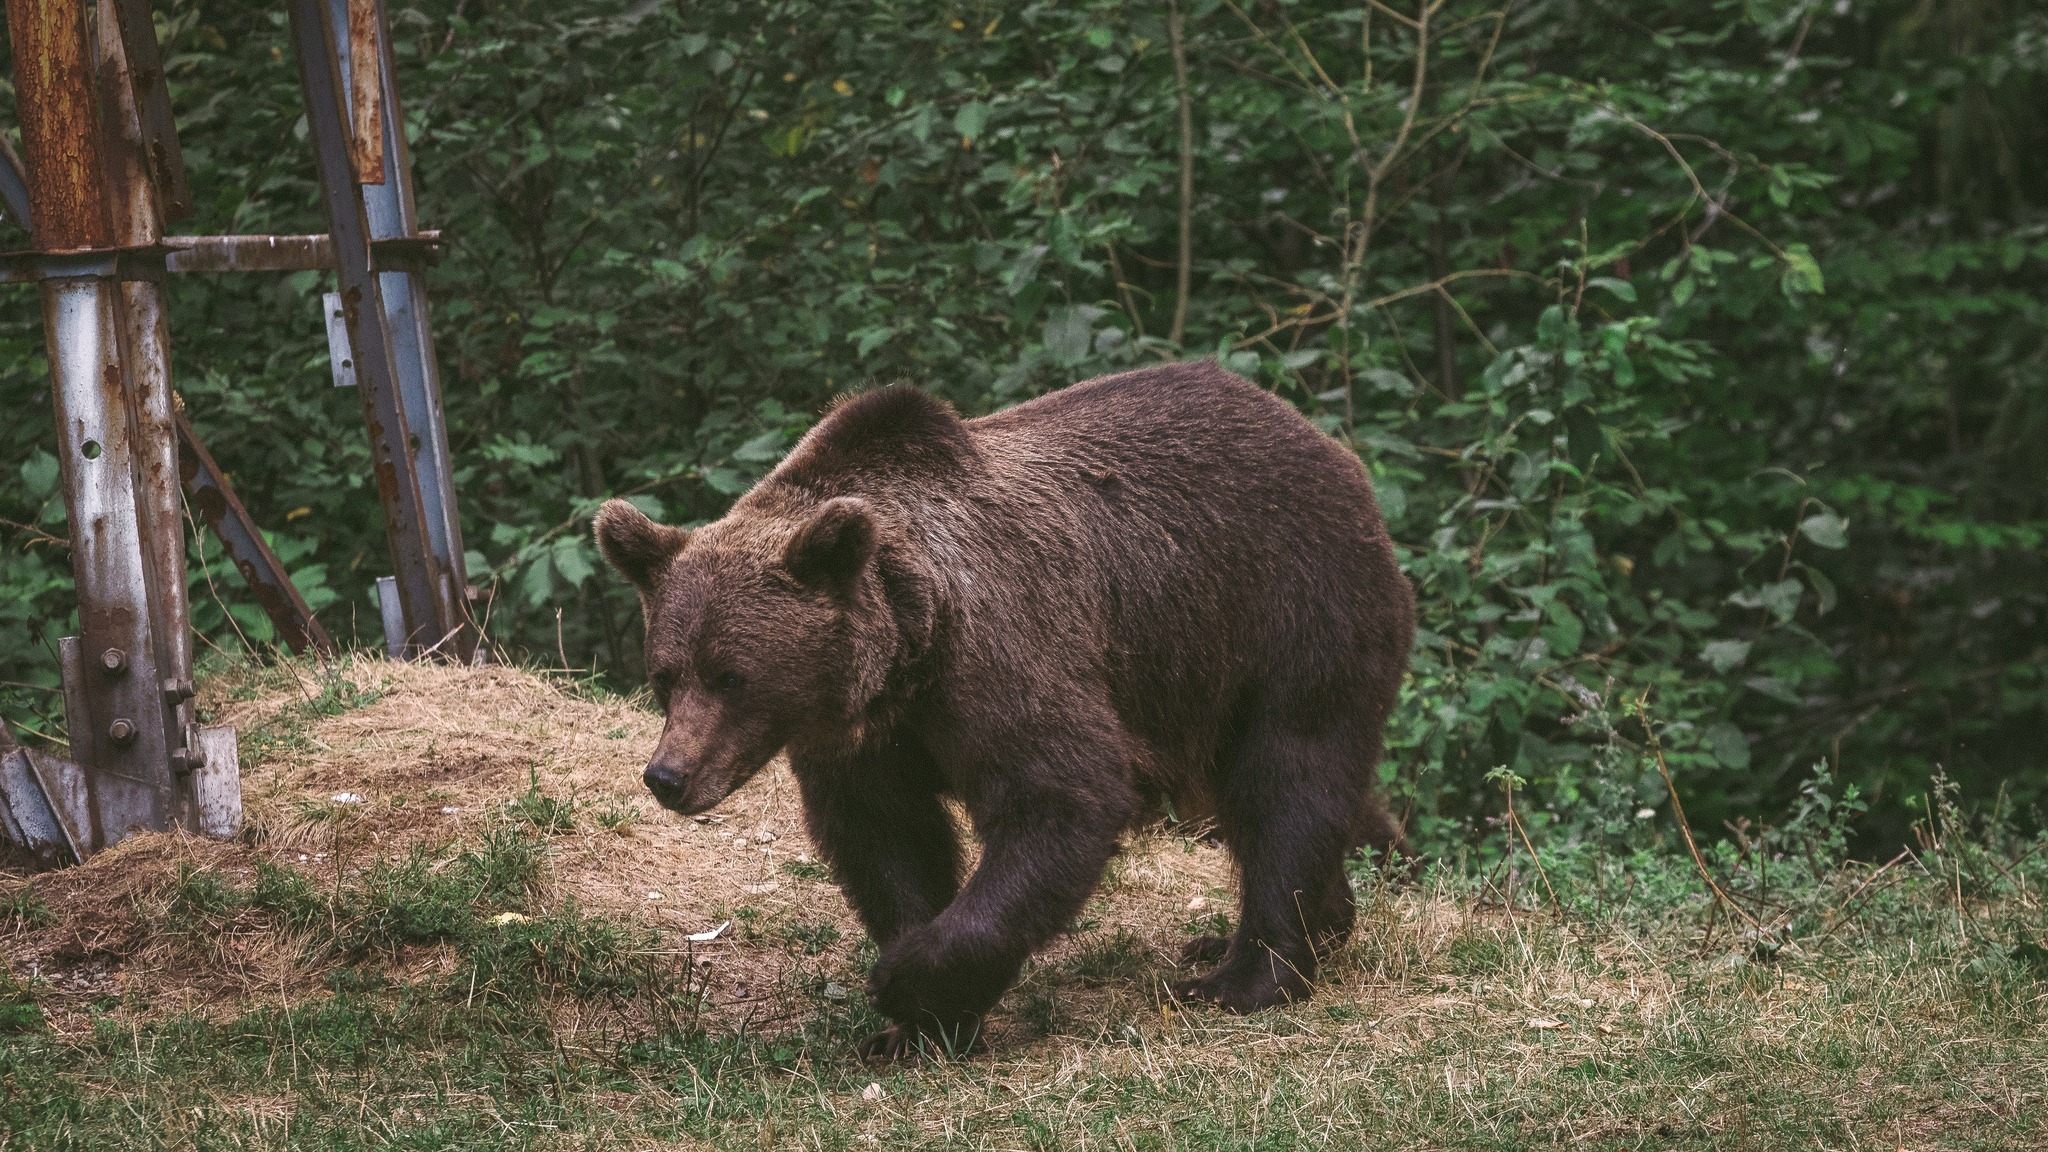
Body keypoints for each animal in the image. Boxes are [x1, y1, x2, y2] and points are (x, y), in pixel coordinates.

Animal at [598, 362, 1409, 1057]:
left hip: (1284, 612)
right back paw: (1297, 927)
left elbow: (1059, 795)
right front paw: (917, 1026)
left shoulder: (1000, 656)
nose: (668, 776)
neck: (906, 652)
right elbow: (888, 835)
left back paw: (1242, 976)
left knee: (1286, 777)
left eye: (733, 677)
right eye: (666, 675)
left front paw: (907, 982)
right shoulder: (867, 741)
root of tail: (1322, 442)